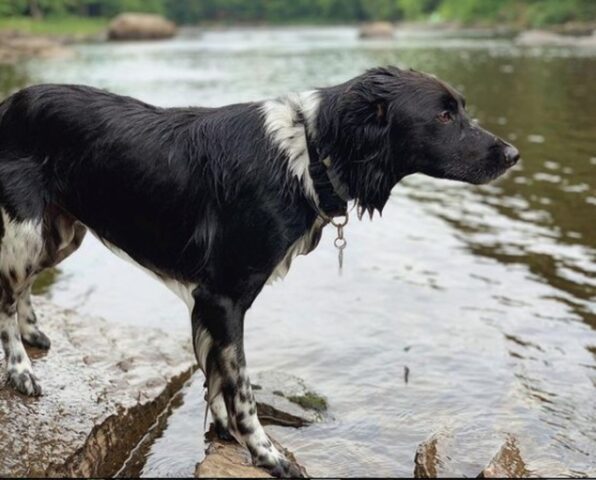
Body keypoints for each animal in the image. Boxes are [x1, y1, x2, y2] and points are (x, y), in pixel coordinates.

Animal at [0, 66, 520, 476]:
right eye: (444, 116)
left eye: (460, 109)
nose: (513, 154)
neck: (308, 156)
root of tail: (10, 101)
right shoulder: (224, 297)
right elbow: (240, 386)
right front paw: (265, 453)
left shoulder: (212, 303)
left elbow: (216, 376)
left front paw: (225, 433)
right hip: (25, 230)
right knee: (6, 295)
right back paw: (20, 368)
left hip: (61, 235)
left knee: (23, 288)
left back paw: (32, 333)